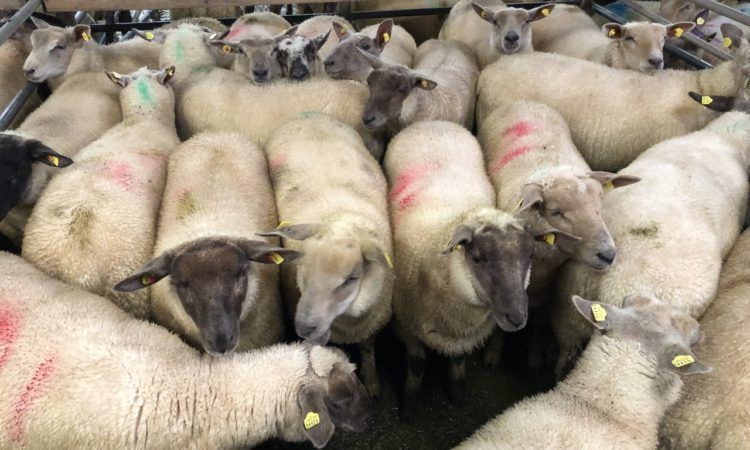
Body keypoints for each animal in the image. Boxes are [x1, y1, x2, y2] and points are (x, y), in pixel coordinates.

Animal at [258, 113, 394, 398]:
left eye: (351, 278)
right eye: (302, 272)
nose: (304, 327)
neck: (339, 218)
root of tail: (311, 115)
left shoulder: (371, 322)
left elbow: (368, 350)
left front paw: (372, 381)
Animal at [384, 120, 569, 414]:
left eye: (529, 256)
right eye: (479, 258)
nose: (517, 318)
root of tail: (433, 123)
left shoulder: (465, 334)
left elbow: (459, 358)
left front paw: (456, 391)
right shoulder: (403, 324)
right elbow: (417, 363)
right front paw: (409, 402)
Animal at [477, 101, 639, 367]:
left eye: (600, 203)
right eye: (556, 212)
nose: (608, 254)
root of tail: (525, 102)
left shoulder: (546, 290)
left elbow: (542, 321)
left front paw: (536, 356)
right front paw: (493, 353)